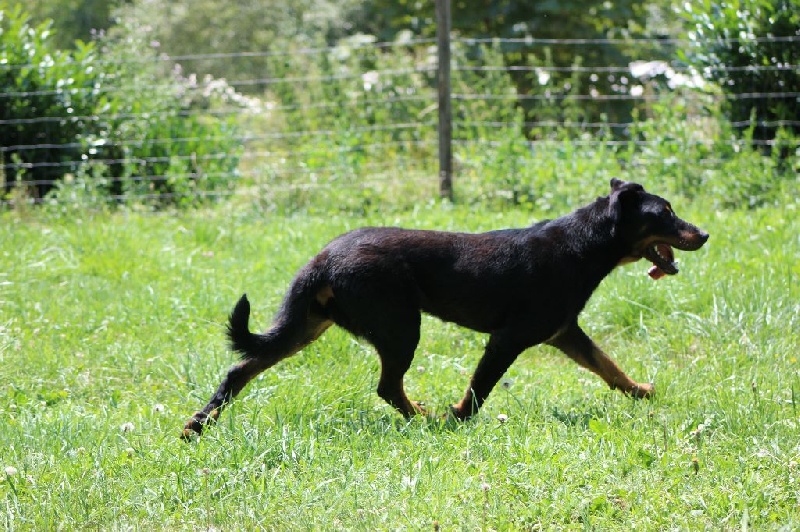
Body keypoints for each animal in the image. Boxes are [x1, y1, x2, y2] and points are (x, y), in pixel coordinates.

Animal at [184, 179, 708, 436]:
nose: (703, 234)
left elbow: (609, 366)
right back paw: (426, 418)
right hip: (400, 327)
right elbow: (478, 392)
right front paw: (456, 419)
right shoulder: (508, 340)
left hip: (307, 327)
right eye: (664, 213)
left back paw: (197, 426)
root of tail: (323, 258)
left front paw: (641, 391)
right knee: (387, 387)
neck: (585, 244)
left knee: (240, 369)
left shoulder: (563, 332)